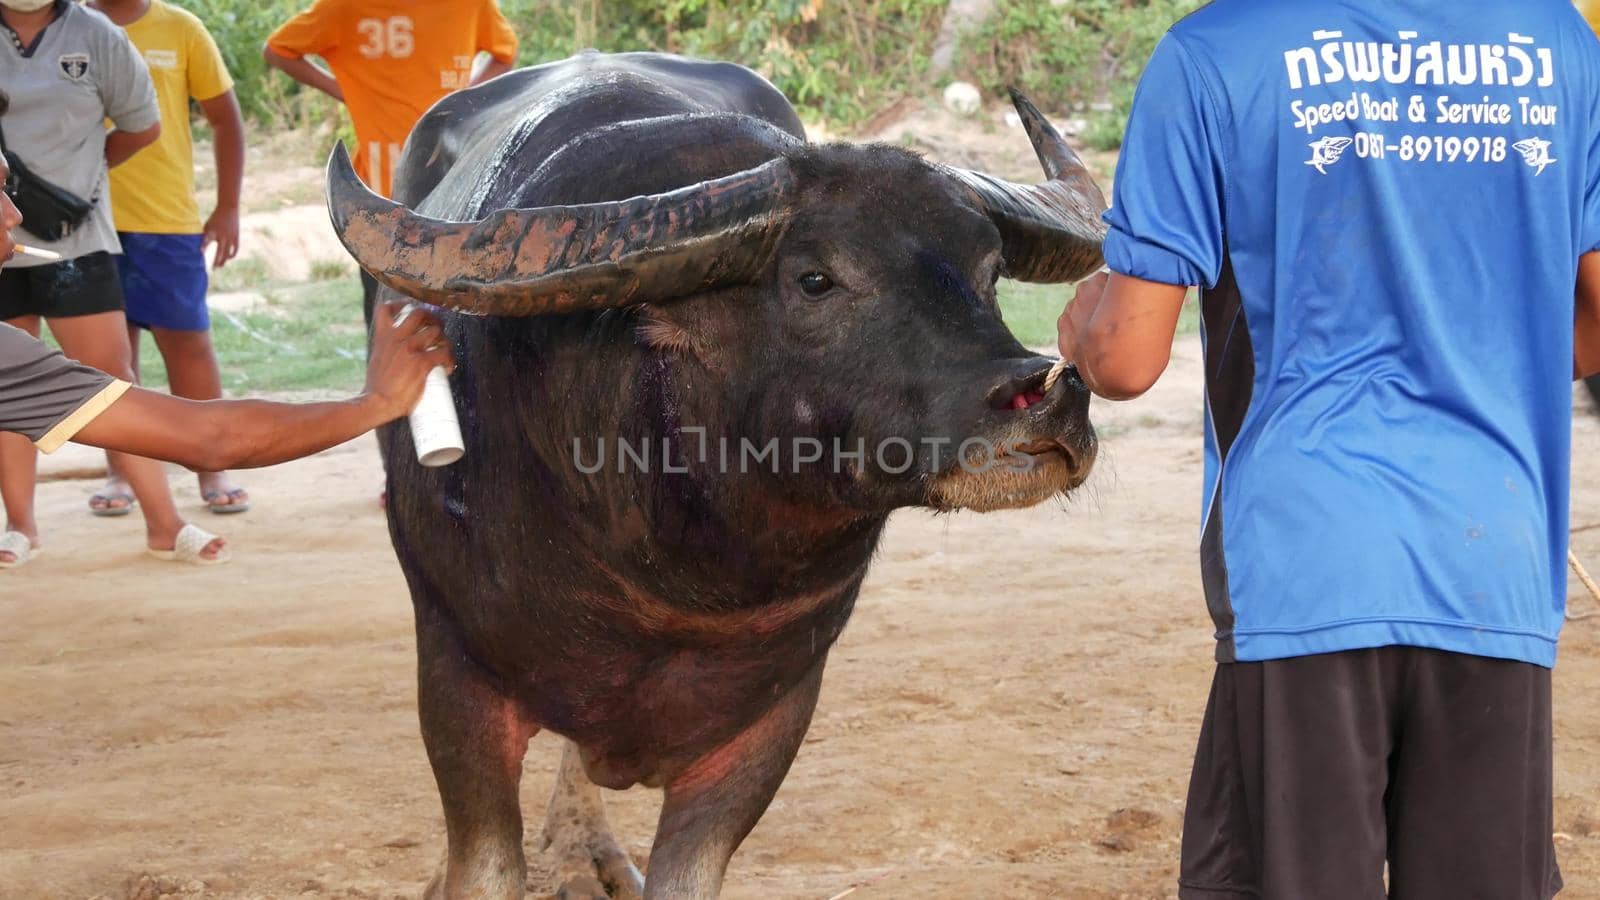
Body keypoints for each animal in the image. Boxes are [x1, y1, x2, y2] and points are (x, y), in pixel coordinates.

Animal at [321, 50, 1100, 896]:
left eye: (989, 271)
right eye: (815, 279)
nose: (1045, 395)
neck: (675, 574)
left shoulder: (772, 716)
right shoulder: (455, 674)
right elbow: (485, 865)